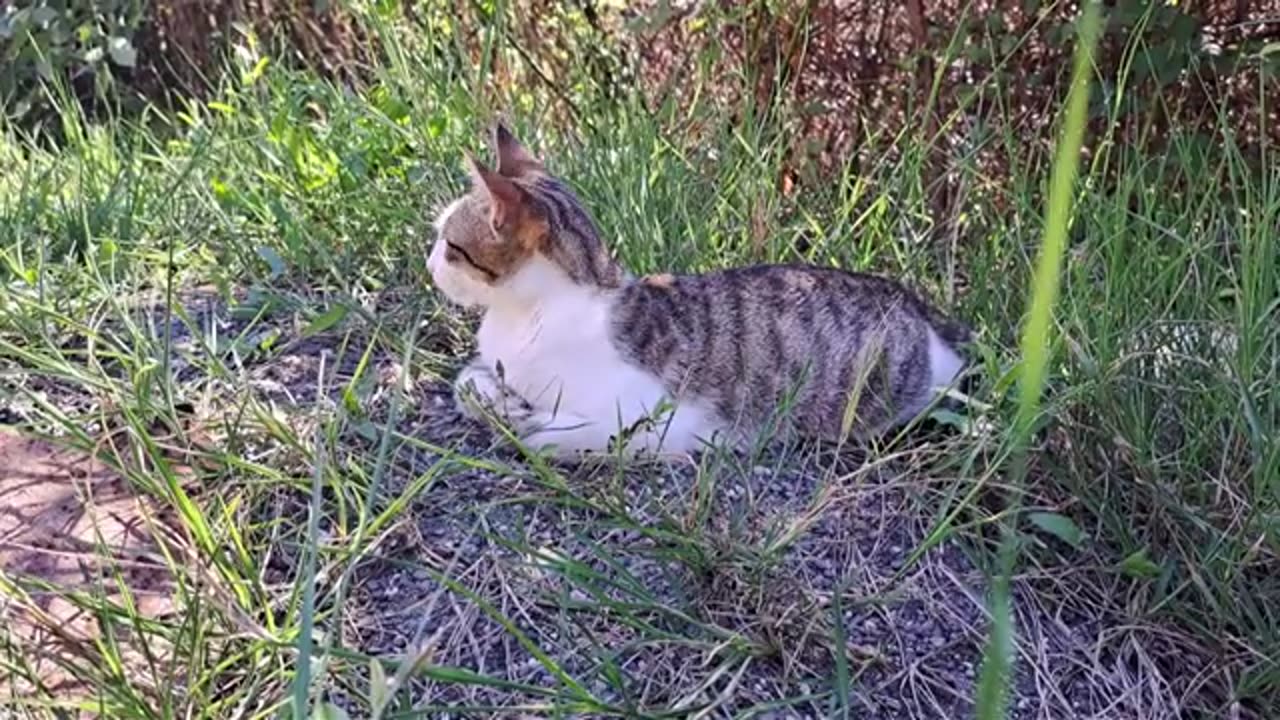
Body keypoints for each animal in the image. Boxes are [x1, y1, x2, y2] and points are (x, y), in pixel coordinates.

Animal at [430, 121, 967, 458]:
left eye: (451, 245)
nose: (429, 261)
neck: (528, 315)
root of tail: (915, 302)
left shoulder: (666, 420)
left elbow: (547, 437)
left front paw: (527, 421)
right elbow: (465, 383)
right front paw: (502, 401)